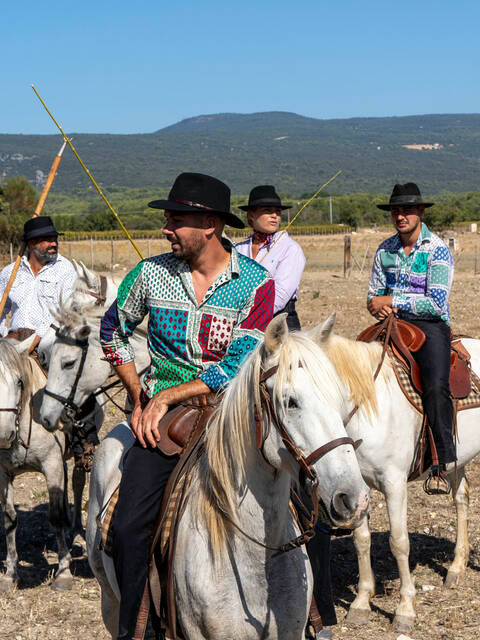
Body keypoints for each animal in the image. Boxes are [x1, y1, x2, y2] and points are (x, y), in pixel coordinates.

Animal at [314, 312, 480, 632]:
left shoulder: (394, 484)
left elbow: (399, 542)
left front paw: (405, 610)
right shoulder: (357, 488)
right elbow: (361, 539)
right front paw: (361, 603)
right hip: (458, 457)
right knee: (462, 499)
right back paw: (456, 568)